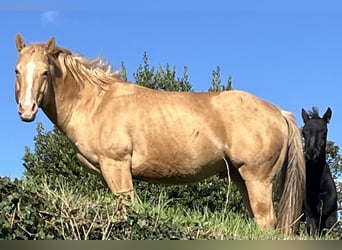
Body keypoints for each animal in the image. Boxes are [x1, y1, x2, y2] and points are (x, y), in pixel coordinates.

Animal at [14, 33, 304, 234]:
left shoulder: (117, 165)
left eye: (45, 72)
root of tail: (279, 112)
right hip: (242, 179)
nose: (26, 110)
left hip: (257, 178)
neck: (96, 102)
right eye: (17, 70)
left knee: (266, 221)